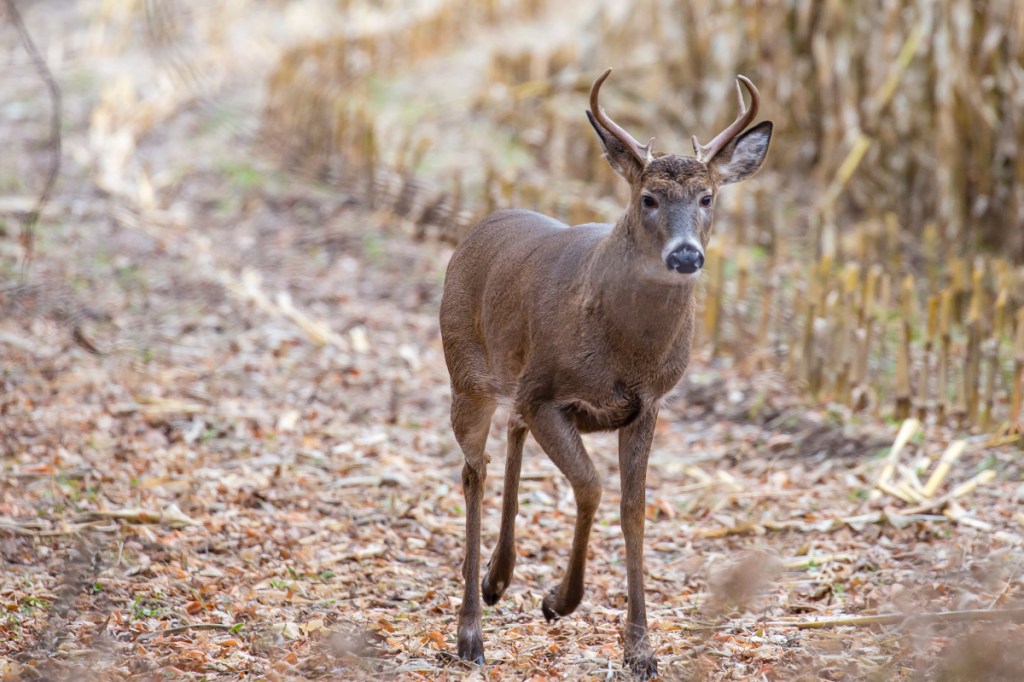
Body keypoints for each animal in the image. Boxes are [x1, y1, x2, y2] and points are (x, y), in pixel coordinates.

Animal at [439, 68, 772, 678]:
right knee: (475, 470)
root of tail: (481, 226)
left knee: (510, 435)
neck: (624, 353)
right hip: (467, 375)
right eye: (649, 197)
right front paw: (559, 600)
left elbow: (633, 509)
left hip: (515, 381)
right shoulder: (549, 393)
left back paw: (498, 578)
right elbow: (591, 487)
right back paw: (471, 631)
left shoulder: (647, 404)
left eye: (708, 196)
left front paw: (640, 649)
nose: (686, 255)